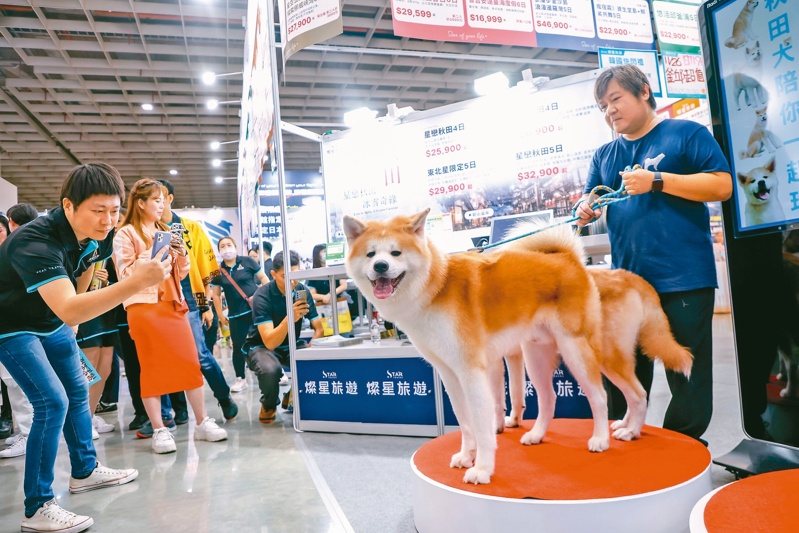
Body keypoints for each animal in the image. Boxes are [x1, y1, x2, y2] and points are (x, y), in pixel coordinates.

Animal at [342, 210, 608, 484]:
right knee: (548, 398)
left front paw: (482, 468)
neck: (435, 290)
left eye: (396, 253)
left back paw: (600, 439)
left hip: (574, 349)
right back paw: (536, 435)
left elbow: (482, 427)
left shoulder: (471, 372)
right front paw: (466, 455)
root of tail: (566, 258)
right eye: (371, 254)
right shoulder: (449, 374)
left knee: (599, 396)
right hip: (536, 356)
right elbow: (465, 422)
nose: (380, 266)